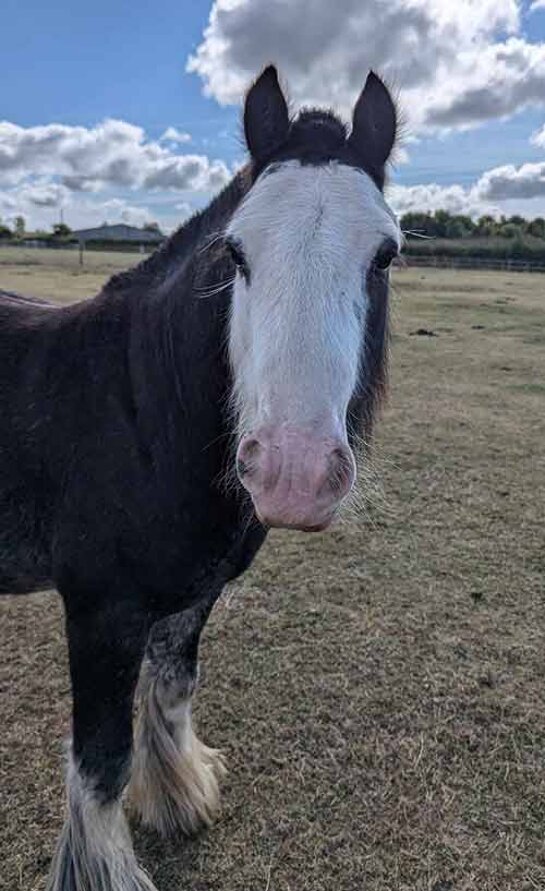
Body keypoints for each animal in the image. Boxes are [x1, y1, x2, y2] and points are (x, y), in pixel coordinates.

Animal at [0, 66, 400, 888]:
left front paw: (181, 796)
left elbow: (173, 691)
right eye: (236, 253)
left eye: (384, 255)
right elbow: (100, 761)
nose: (291, 471)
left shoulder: (192, 596)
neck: (138, 412)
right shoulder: (99, 612)